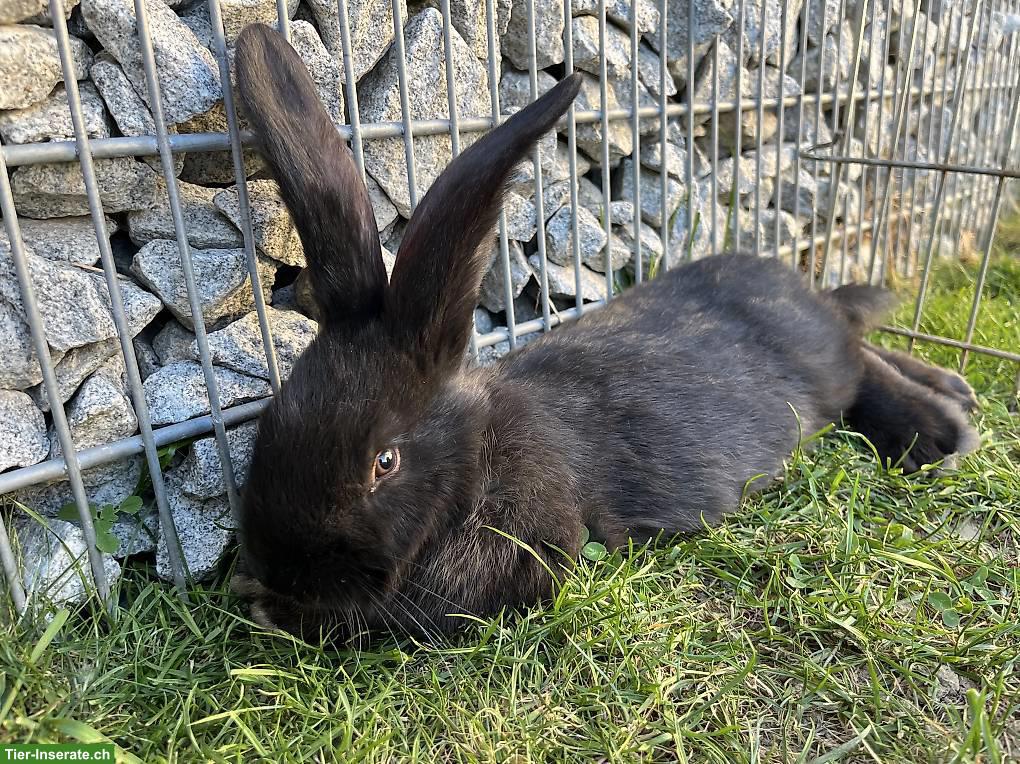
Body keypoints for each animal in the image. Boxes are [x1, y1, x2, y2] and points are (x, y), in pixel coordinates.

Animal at [229, 23, 980, 642]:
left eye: (384, 462)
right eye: (271, 421)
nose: (280, 570)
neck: (479, 457)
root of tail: (792, 280)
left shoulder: (526, 549)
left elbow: (391, 614)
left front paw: (274, 611)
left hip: (817, 359)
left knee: (857, 359)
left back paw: (940, 433)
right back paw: (953, 392)